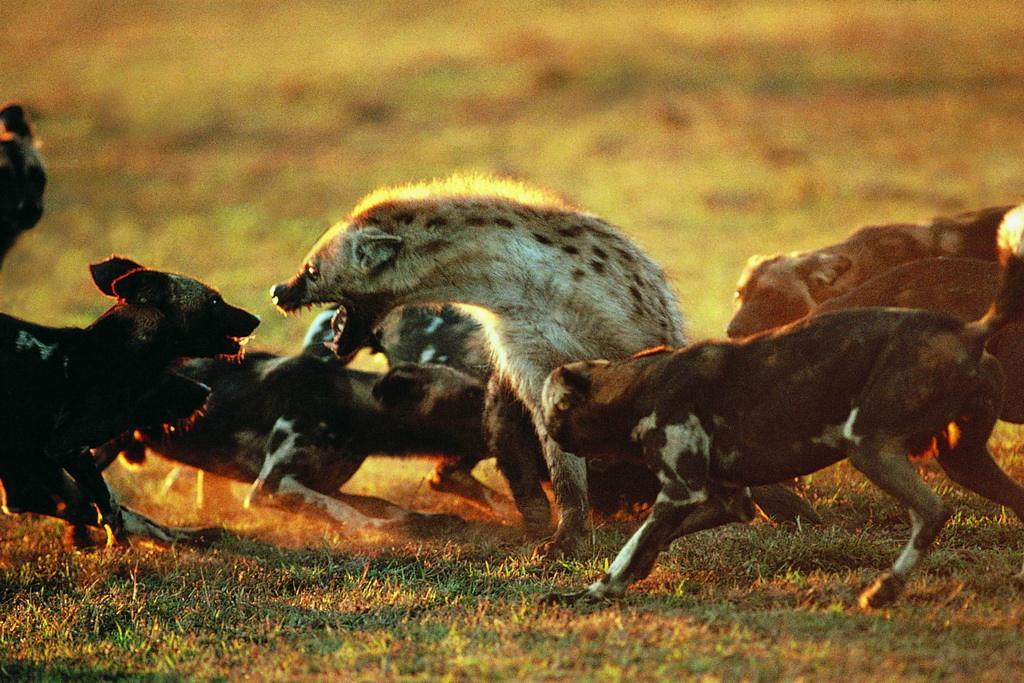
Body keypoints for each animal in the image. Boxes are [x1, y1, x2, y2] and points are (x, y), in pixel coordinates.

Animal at [0, 255, 260, 548]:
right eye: (214, 301)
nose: (257, 318)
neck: (110, 356)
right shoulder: (68, 448)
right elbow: (110, 506)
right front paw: (117, 546)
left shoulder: (29, 474)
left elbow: (119, 512)